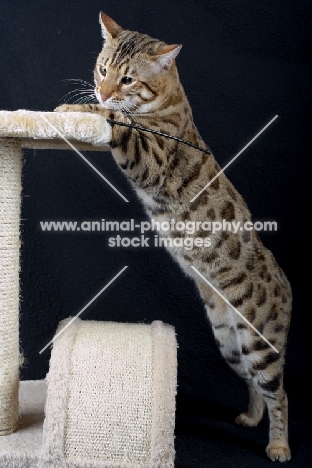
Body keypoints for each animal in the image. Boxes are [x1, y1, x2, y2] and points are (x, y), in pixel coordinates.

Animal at [56, 12, 292, 462]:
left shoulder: (151, 154)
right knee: (254, 385)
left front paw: (78, 108)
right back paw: (251, 417)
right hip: (229, 342)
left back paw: (278, 444)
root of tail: (287, 286)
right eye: (103, 69)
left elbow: (118, 120)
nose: (102, 89)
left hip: (260, 343)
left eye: (128, 79)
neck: (169, 102)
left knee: (280, 392)